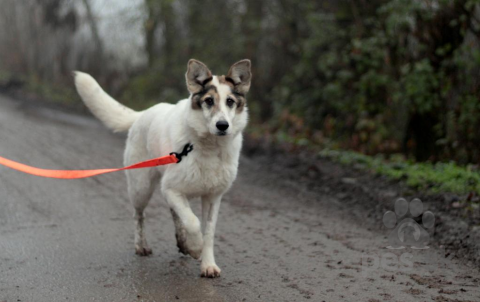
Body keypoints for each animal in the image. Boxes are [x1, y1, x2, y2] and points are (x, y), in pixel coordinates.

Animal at [75, 57, 251, 278]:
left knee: (174, 213)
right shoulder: (171, 189)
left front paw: (208, 264)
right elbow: (193, 222)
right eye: (209, 101)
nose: (222, 126)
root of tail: (142, 114)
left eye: (230, 102)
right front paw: (196, 248)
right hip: (141, 189)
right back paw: (142, 246)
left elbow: (208, 232)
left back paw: (182, 242)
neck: (209, 147)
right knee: (139, 215)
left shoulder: (212, 197)